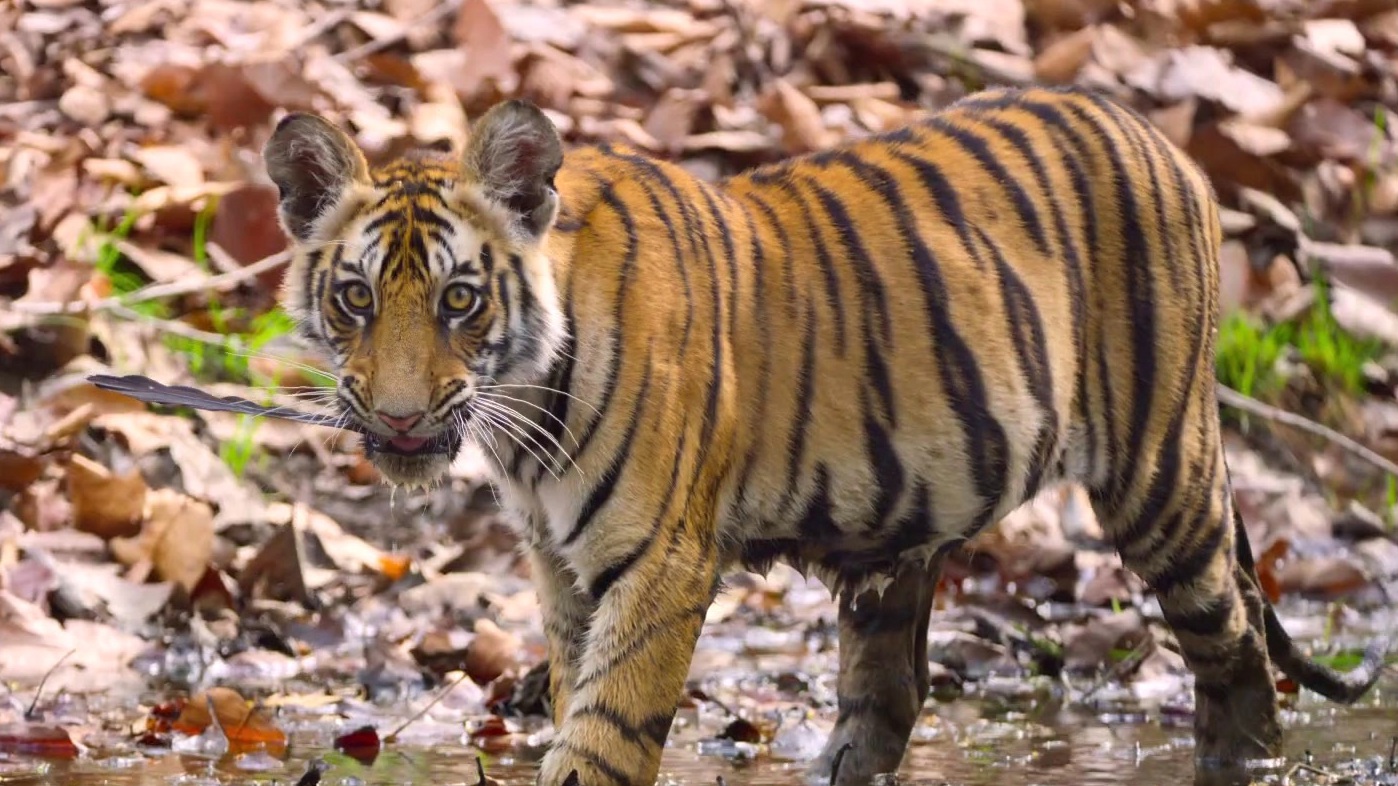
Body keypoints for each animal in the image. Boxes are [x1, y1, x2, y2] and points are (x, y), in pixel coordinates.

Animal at [261, 84, 1388, 785]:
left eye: (458, 300)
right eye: (357, 297)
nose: (399, 417)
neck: (526, 420)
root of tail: (1158, 134)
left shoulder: (659, 566)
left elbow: (607, 730)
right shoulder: (562, 570)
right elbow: (582, 692)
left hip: (1162, 475)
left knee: (1237, 652)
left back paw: (1244, 755)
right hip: (908, 529)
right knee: (889, 696)